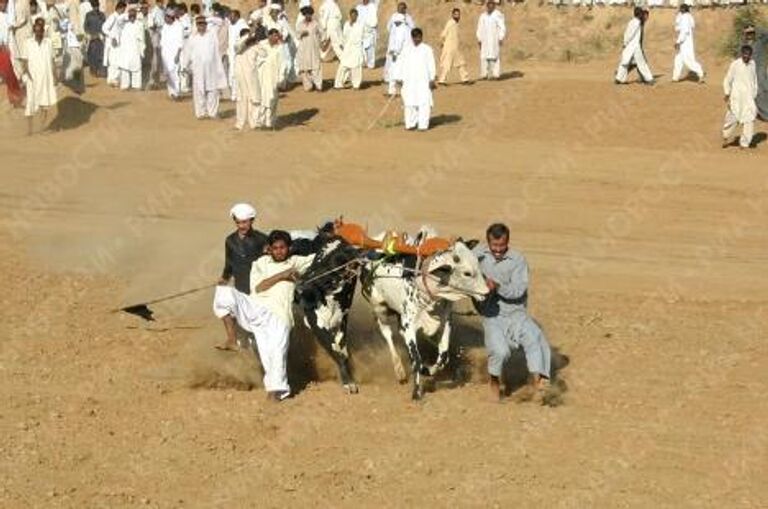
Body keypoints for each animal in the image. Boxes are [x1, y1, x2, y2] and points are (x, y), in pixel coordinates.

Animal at [292, 230, 364, 392]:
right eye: (319, 254)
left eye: (339, 260)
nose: (301, 286)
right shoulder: (315, 322)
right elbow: (334, 348)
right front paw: (348, 383)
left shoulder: (343, 319)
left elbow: (342, 348)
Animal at [360, 240, 486, 398]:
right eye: (467, 273)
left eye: (478, 264)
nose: (486, 292)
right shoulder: (409, 325)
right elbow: (417, 359)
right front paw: (416, 391)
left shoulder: (445, 323)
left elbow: (443, 356)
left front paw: (429, 370)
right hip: (379, 309)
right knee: (387, 334)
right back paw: (399, 371)